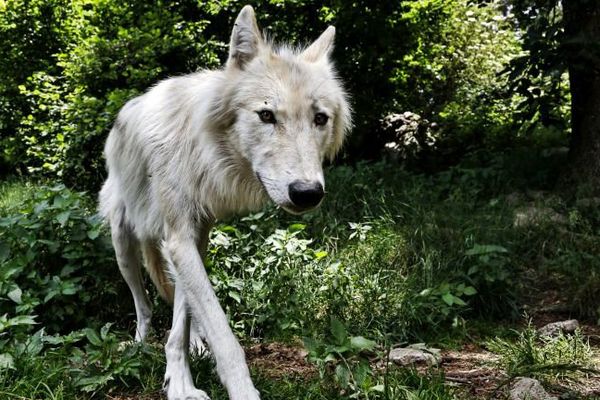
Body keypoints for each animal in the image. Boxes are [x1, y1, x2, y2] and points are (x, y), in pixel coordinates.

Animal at [98, 4, 352, 398]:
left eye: (320, 118)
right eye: (266, 115)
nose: (307, 192)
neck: (204, 151)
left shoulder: (194, 235)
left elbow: (186, 319)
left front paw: (179, 377)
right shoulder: (179, 238)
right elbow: (222, 333)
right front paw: (219, 389)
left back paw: (195, 347)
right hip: (123, 245)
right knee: (143, 305)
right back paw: (139, 344)